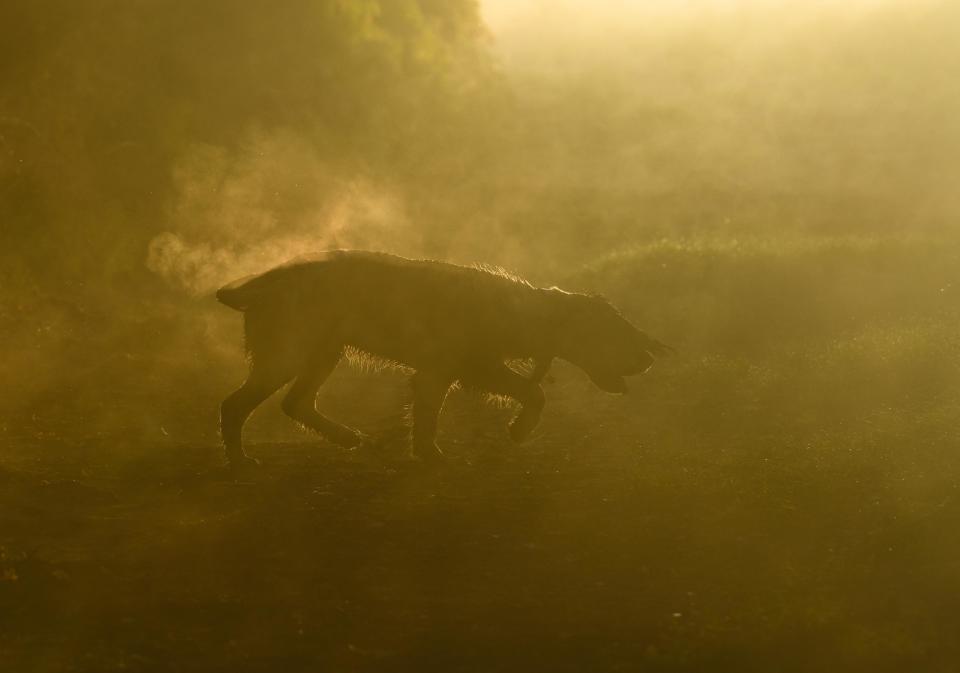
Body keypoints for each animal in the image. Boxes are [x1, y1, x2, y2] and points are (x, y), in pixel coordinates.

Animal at [218, 249, 672, 464]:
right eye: (615, 332)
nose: (648, 359)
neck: (523, 312)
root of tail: (257, 286)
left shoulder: (450, 371)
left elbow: (427, 418)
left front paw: (426, 454)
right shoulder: (461, 369)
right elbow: (534, 394)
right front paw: (519, 430)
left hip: (322, 352)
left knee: (296, 403)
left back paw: (347, 437)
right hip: (289, 353)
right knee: (233, 405)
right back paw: (240, 460)